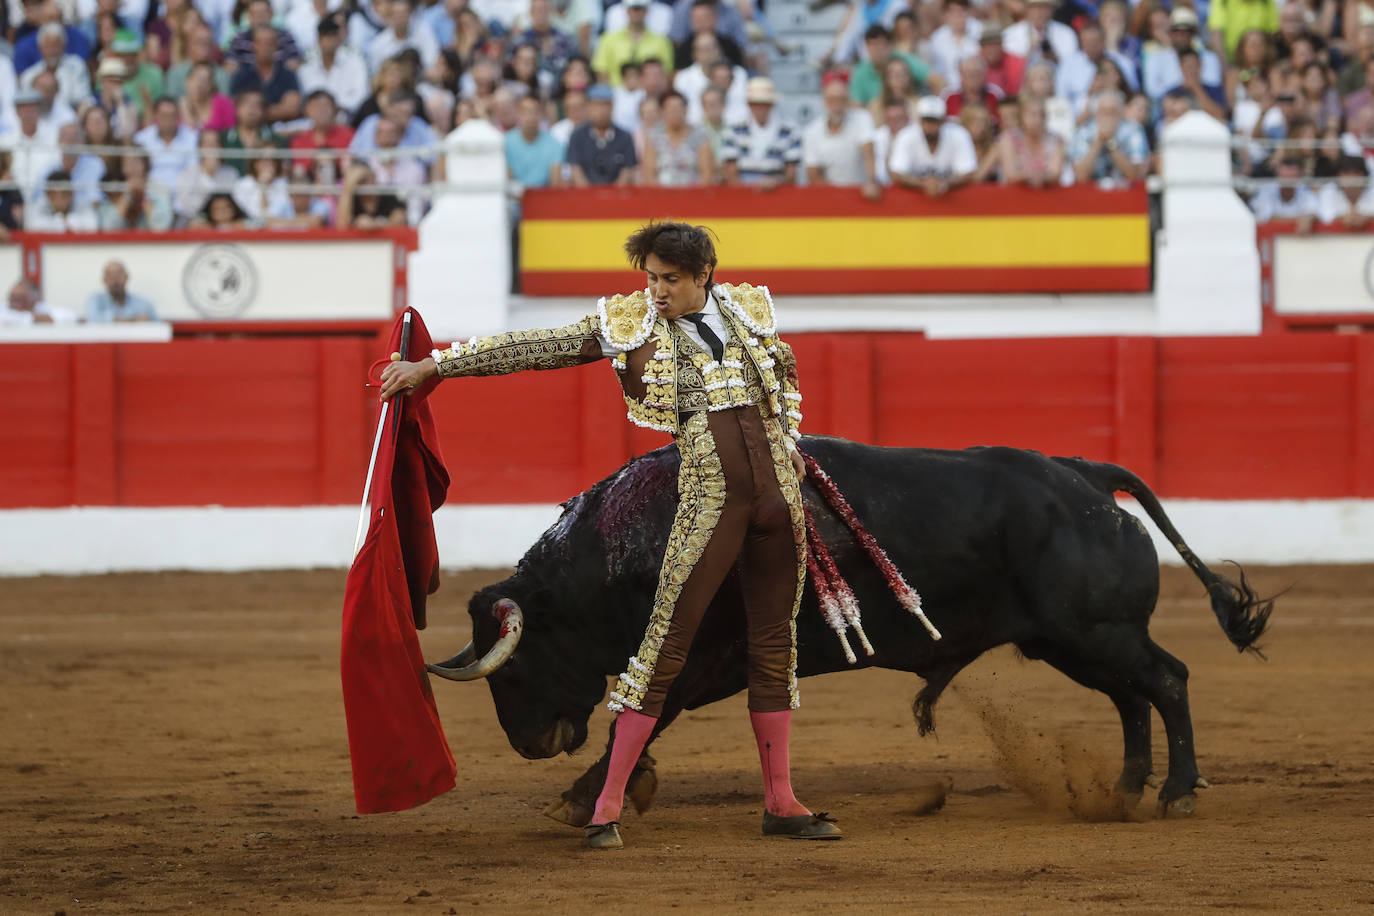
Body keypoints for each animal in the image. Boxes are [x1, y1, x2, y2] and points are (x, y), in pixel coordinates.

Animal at [431, 439, 1275, 823]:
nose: (529, 744)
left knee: (1165, 680)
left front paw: (585, 796)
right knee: (1132, 697)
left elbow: (652, 710)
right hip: (1069, 640)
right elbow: (649, 714)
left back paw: (1175, 793)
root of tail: (1087, 474)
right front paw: (618, 788)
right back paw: (1125, 789)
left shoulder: (708, 650)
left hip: (1096, 630)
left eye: (517, 663)